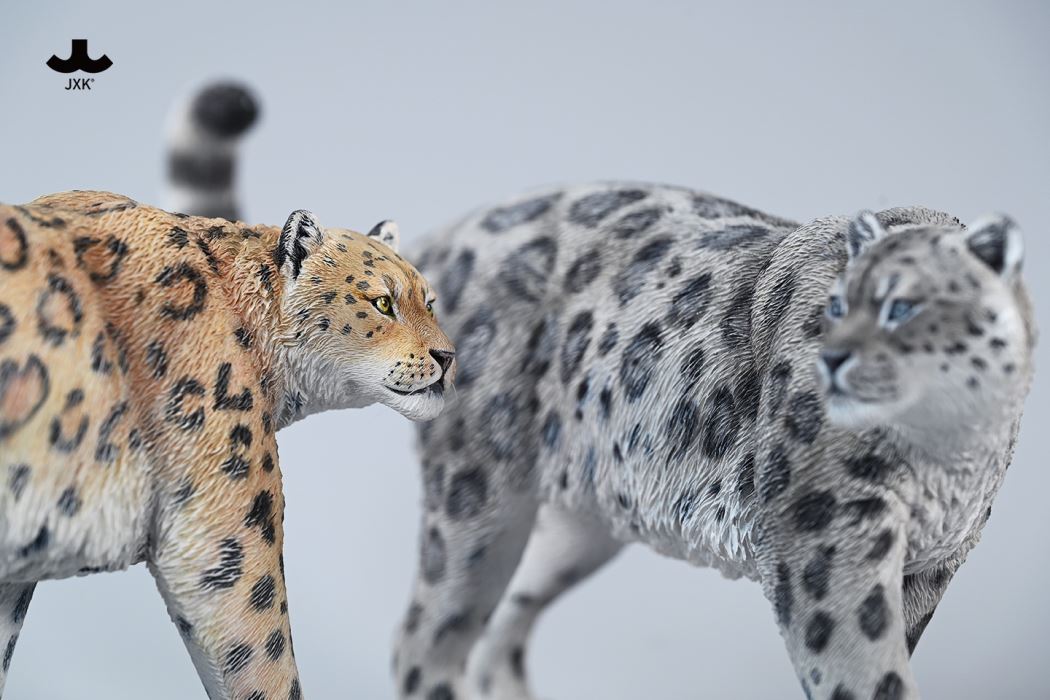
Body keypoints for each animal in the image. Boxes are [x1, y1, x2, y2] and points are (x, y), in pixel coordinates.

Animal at [399, 183, 1035, 700]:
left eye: (902, 305)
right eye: (836, 304)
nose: (832, 359)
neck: (948, 460)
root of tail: (442, 240)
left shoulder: (932, 562)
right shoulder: (829, 532)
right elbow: (863, 668)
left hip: (573, 528)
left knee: (500, 627)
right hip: (477, 494)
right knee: (428, 638)